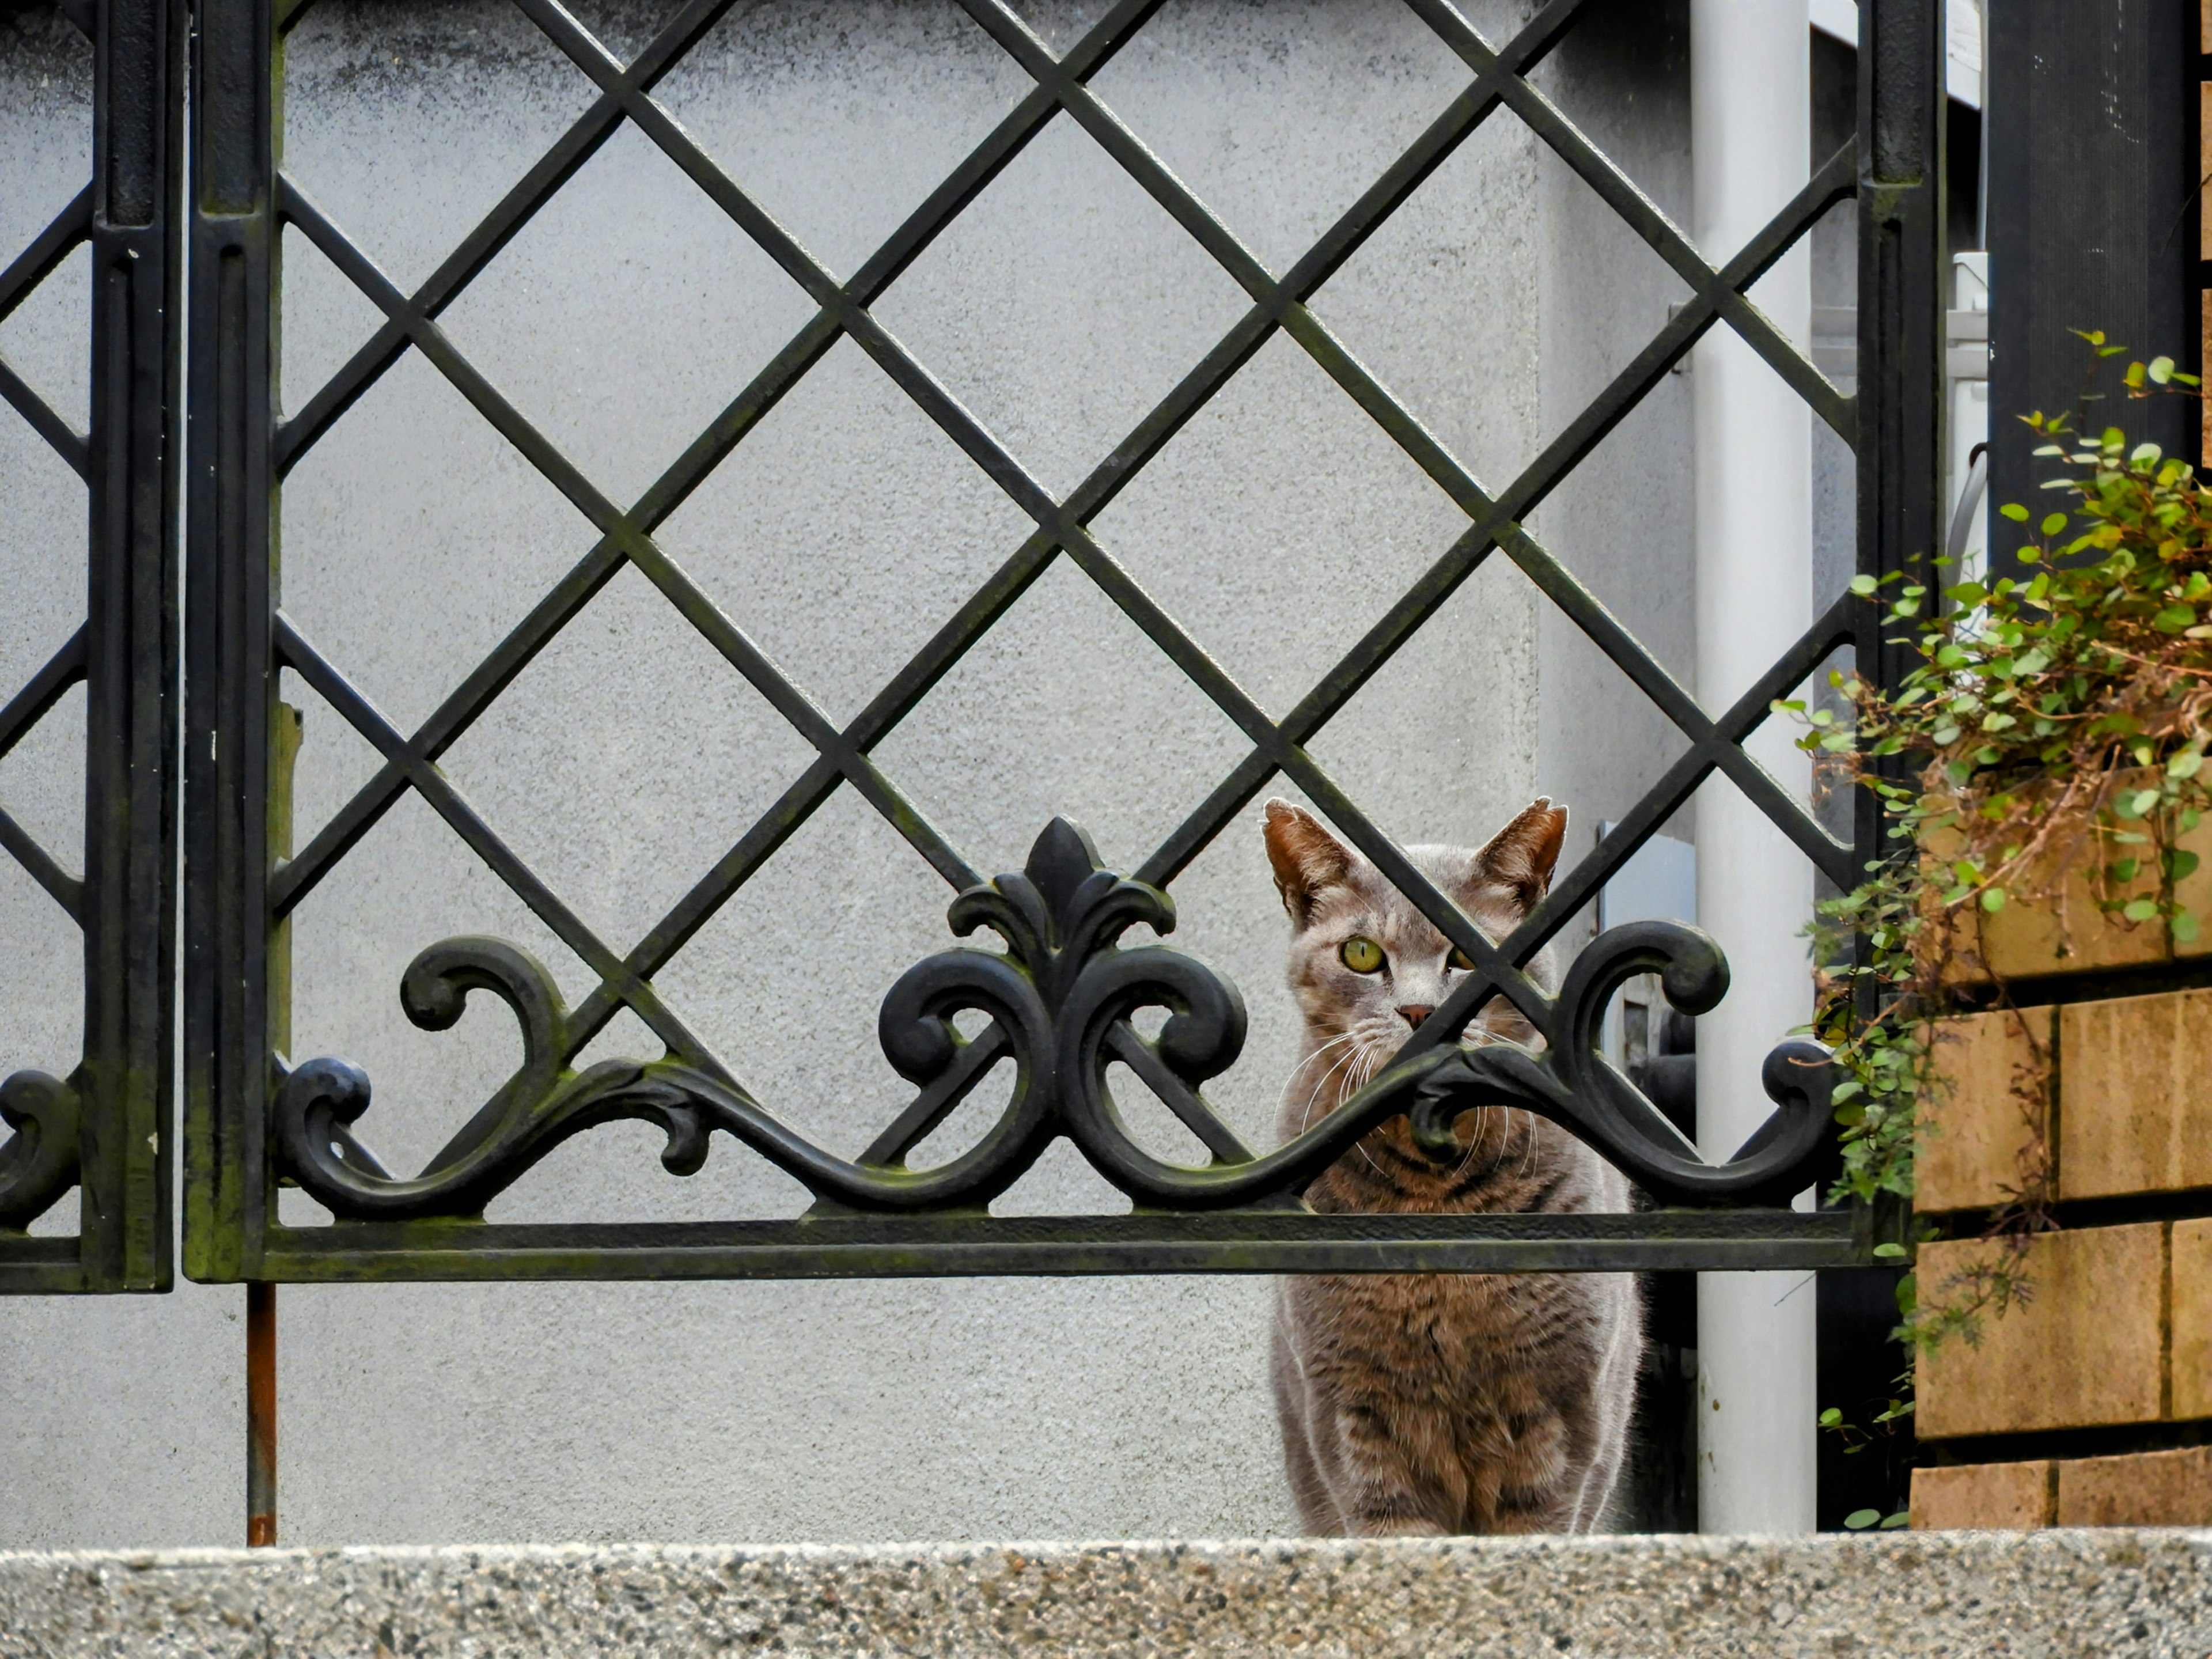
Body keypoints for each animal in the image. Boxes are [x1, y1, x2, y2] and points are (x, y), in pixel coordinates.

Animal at [1265, 801, 1645, 1539]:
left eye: (1468, 958)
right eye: (1361, 954)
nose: (1420, 1012)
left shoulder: (1563, 1412)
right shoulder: (1351, 1414)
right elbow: (1391, 1532)